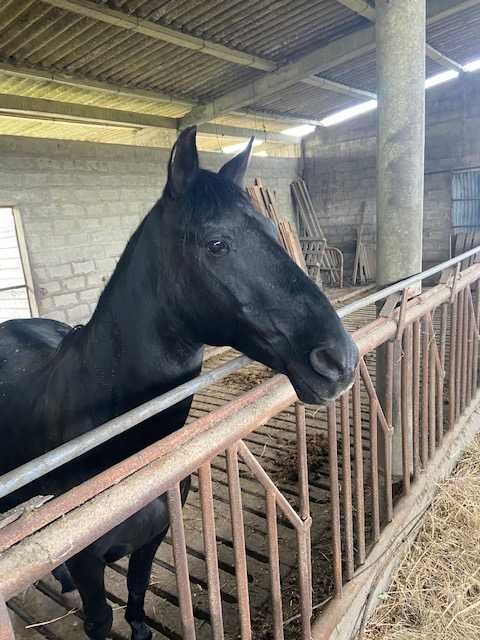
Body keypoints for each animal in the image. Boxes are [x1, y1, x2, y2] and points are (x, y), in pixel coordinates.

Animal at [0, 129, 358, 640]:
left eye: (273, 234)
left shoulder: (152, 541)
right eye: (215, 243)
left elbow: (137, 597)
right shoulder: (91, 568)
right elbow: (100, 617)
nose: (339, 361)